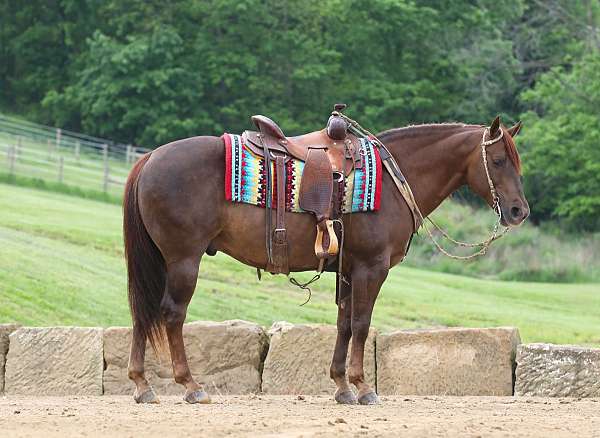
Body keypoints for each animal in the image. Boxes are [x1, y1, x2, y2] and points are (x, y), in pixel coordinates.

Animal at [124, 115, 528, 404]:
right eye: (497, 160)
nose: (518, 211)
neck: (392, 179)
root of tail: (150, 158)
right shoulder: (371, 268)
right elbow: (362, 324)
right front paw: (363, 388)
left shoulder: (349, 270)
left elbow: (344, 324)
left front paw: (341, 387)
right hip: (183, 260)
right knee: (172, 314)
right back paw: (190, 386)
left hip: (161, 261)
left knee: (144, 311)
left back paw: (143, 386)